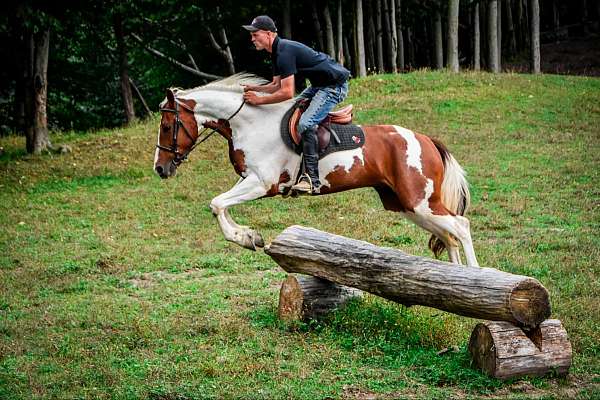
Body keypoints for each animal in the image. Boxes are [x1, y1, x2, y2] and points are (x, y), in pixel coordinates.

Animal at [154, 73, 478, 268]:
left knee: (461, 226)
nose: (160, 169)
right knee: (448, 235)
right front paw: (248, 236)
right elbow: (220, 206)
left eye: (167, 127)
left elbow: (217, 203)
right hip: (406, 205)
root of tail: (428, 140)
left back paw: (475, 276)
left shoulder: (262, 184)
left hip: (419, 202)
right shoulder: (250, 181)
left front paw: (244, 236)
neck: (249, 123)